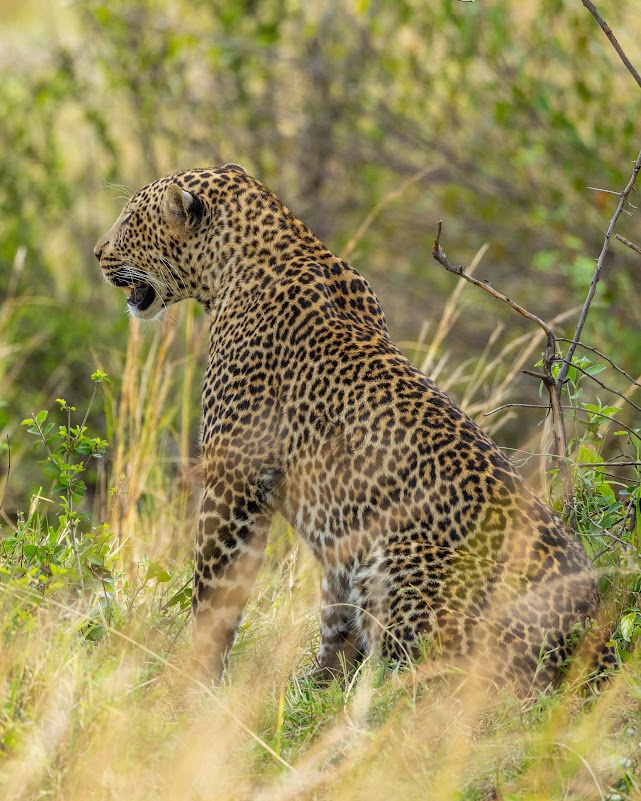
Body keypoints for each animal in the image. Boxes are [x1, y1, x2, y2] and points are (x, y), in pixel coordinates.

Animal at [94, 164, 611, 693]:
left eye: (131, 219)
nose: (97, 253)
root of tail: (597, 640)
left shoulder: (234, 477)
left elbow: (214, 589)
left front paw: (192, 677)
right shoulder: (338, 537)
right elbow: (334, 608)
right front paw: (314, 687)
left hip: (406, 556)